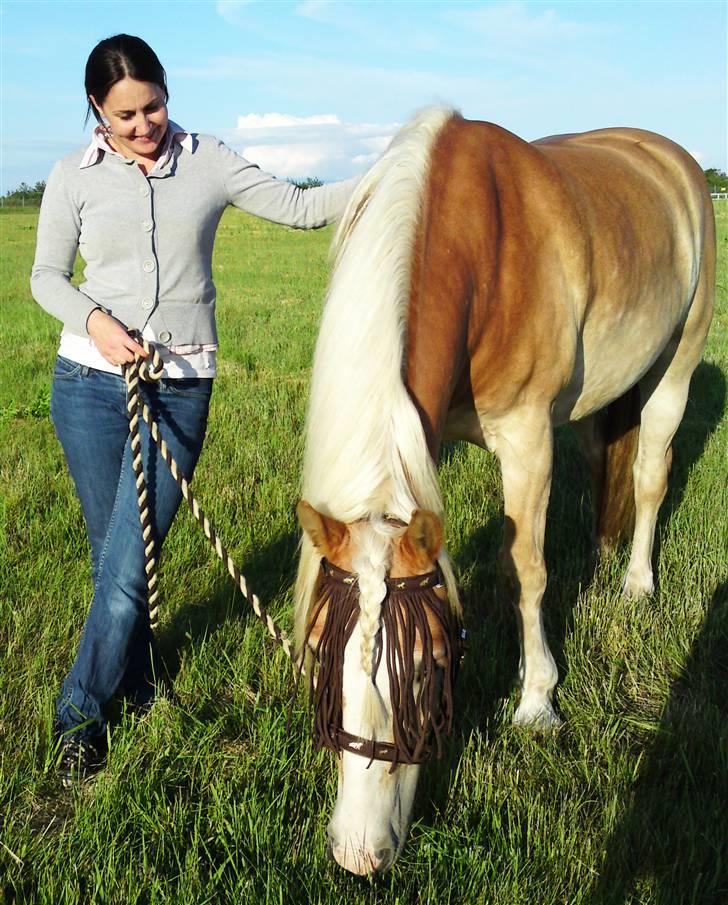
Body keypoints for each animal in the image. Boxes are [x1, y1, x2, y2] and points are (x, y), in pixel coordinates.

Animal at [292, 107, 712, 876]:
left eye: (427, 670)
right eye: (319, 659)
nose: (360, 854)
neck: (475, 247)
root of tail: (669, 158)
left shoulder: (526, 437)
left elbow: (527, 570)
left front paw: (537, 699)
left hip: (677, 363)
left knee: (650, 474)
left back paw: (636, 584)